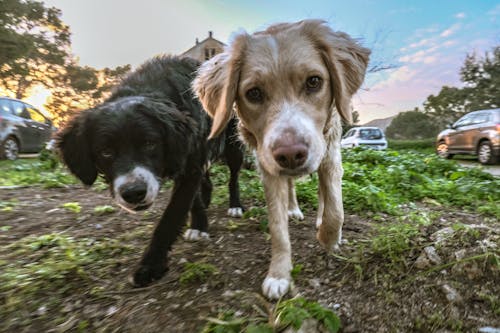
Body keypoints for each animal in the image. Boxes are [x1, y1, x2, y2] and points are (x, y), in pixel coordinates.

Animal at [57, 55, 244, 286]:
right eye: (106, 152)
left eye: (149, 143)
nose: (133, 193)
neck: (148, 87)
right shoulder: (190, 160)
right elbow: (192, 199)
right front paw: (199, 223)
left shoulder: (189, 163)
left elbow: (171, 217)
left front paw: (151, 265)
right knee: (206, 181)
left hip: (233, 147)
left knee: (233, 178)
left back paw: (236, 206)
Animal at [193, 19, 370, 296]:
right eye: (253, 93)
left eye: (314, 82)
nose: (290, 154)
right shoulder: (268, 167)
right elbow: (277, 228)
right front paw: (279, 275)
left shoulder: (330, 155)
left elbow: (335, 209)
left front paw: (328, 238)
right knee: (291, 187)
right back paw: (293, 209)